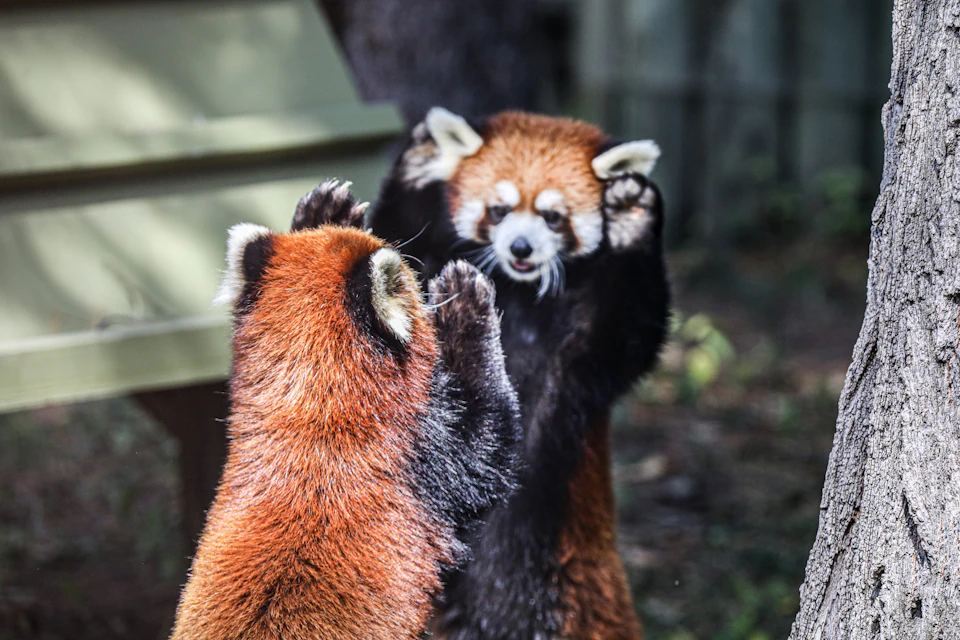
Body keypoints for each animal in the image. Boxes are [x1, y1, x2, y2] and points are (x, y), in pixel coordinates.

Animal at [363, 109, 671, 638]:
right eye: (500, 210)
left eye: (553, 216)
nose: (521, 248)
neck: (521, 298)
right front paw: (420, 161)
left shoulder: (580, 365)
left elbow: (631, 327)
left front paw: (632, 212)